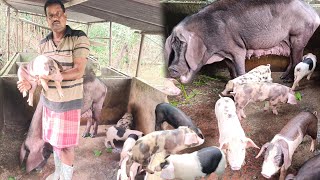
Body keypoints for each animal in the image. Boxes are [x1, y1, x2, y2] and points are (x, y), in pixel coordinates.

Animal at [165, 0, 320, 83]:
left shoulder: (237, 48)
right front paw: (231, 80)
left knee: (297, 59)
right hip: (289, 40)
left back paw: (288, 81)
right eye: (173, 46)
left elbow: (240, 68)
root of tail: (313, 13)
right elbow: (230, 68)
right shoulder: (225, 53)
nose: (171, 68)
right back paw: (283, 77)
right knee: (292, 59)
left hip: (299, 36)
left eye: (184, 44)